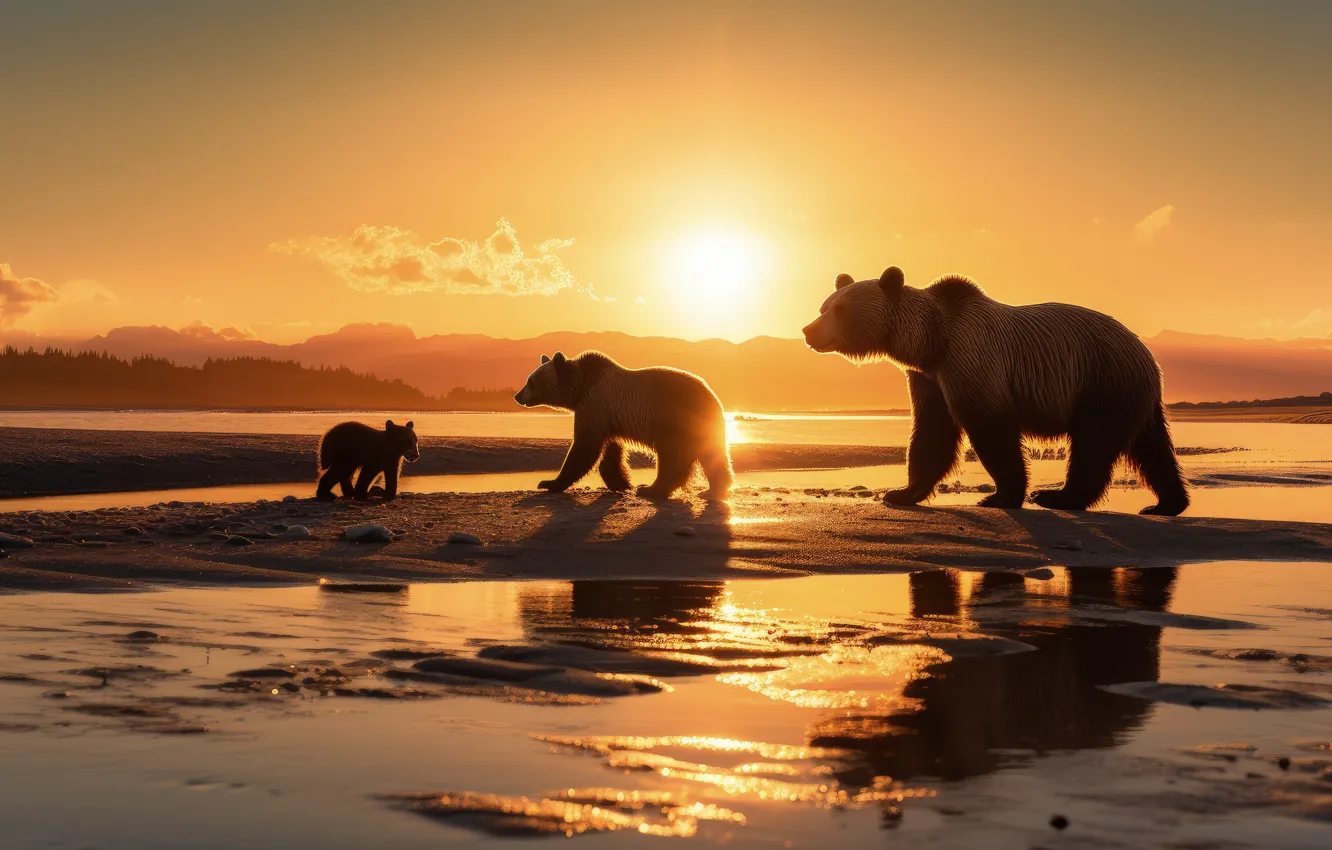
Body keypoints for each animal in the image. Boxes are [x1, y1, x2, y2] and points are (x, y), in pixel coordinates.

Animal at [513, 350, 733, 500]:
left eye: (530, 381)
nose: (517, 396)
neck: (581, 388)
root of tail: (712, 396)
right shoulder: (608, 417)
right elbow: (611, 452)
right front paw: (622, 482)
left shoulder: (594, 405)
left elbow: (585, 448)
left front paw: (549, 482)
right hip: (704, 426)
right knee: (714, 455)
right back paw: (715, 488)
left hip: (673, 418)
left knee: (672, 456)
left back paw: (653, 489)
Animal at [801, 267, 1189, 516]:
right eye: (824, 306)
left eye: (840, 309)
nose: (808, 330)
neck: (932, 340)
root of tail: (1146, 355)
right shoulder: (929, 377)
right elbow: (931, 431)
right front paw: (901, 492)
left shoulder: (971, 357)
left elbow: (990, 428)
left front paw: (1001, 496)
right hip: (1131, 392)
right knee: (1151, 447)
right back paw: (1166, 503)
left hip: (1098, 380)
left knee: (1094, 444)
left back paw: (1059, 497)